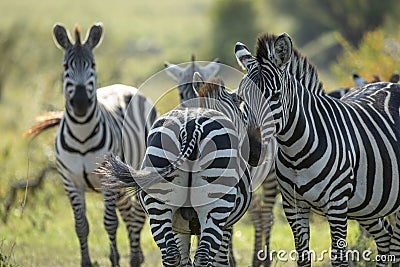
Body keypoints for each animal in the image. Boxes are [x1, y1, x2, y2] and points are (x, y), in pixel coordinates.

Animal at [50, 23, 156, 267]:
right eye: (65, 66)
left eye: (93, 65)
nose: (80, 103)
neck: (81, 136)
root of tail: (126, 87)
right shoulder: (70, 182)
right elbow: (81, 226)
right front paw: (86, 262)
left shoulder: (106, 181)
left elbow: (110, 223)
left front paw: (115, 260)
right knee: (129, 214)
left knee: (136, 215)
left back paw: (134, 258)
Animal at [96, 76, 260, 266]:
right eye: (244, 116)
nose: (255, 154)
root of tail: (191, 128)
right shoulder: (226, 225)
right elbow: (219, 261)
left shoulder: (179, 226)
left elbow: (184, 258)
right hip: (216, 205)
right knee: (202, 257)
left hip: (159, 203)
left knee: (171, 256)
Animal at [234, 32, 400, 266]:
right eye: (241, 98)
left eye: (274, 96)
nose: (252, 151)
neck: (295, 153)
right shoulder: (293, 206)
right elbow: (303, 257)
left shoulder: (337, 204)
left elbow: (339, 258)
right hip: (370, 203)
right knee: (385, 236)